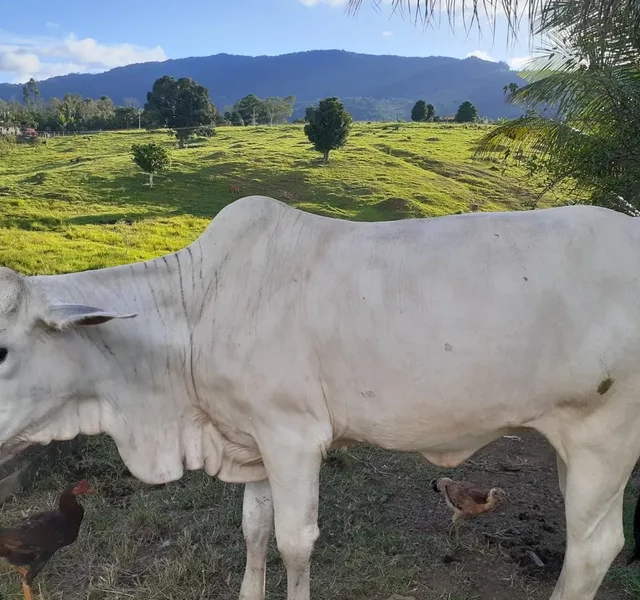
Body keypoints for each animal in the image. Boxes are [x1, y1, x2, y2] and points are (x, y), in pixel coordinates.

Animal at [1, 195, 640, 596]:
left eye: (3, 350)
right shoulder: (253, 440)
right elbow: (254, 532)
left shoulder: (294, 437)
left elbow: (294, 543)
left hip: (605, 439)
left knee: (593, 549)